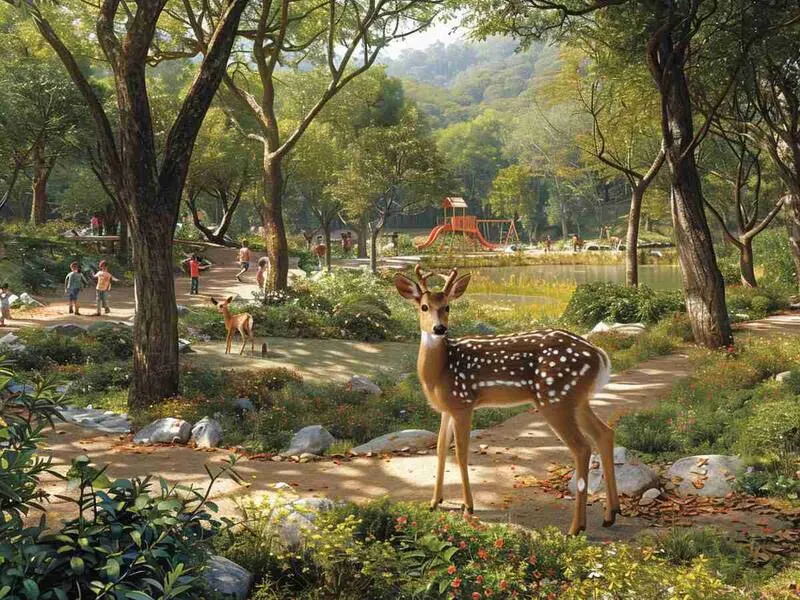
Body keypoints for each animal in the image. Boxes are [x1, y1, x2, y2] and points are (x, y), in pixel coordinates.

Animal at [394, 265, 620, 535]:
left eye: (447, 306)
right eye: (424, 306)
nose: (439, 329)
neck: (439, 372)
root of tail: (600, 355)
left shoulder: (463, 403)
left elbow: (460, 453)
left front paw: (468, 506)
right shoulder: (446, 408)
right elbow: (439, 450)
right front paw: (434, 502)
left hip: (555, 398)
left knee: (582, 447)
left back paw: (576, 527)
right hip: (576, 399)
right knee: (604, 433)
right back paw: (611, 514)